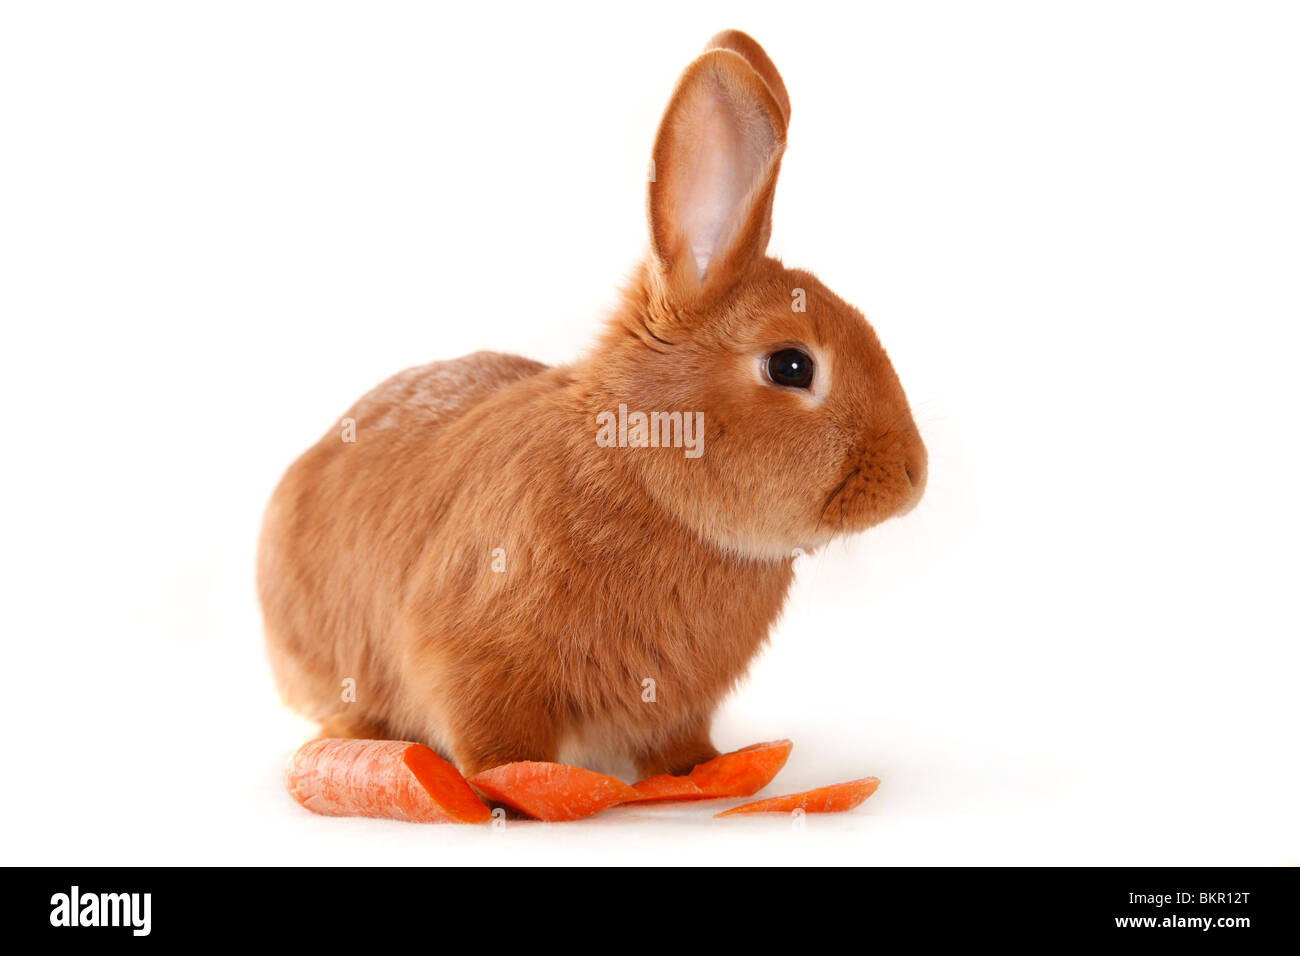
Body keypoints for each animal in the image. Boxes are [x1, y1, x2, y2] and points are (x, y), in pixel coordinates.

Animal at [256, 29, 925, 780]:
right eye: (791, 366)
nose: (913, 476)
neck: (641, 465)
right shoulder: (475, 659)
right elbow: (496, 743)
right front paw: (513, 787)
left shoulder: (677, 704)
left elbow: (677, 741)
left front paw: (703, 772)